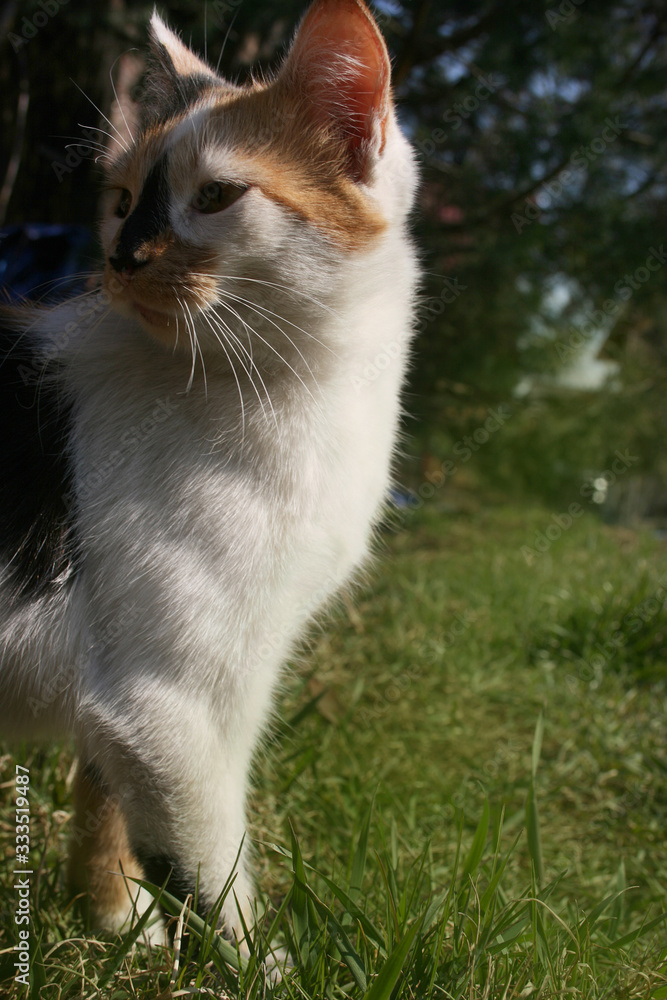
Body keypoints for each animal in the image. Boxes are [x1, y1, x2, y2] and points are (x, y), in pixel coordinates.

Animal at [0, 0, 418, 940]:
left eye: (217, 195)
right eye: (122, 202)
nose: (121, 257)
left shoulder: (122, 703)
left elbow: (102, 798)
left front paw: (113, 914)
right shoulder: (168, 708)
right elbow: (217, 875)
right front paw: (261, 957)